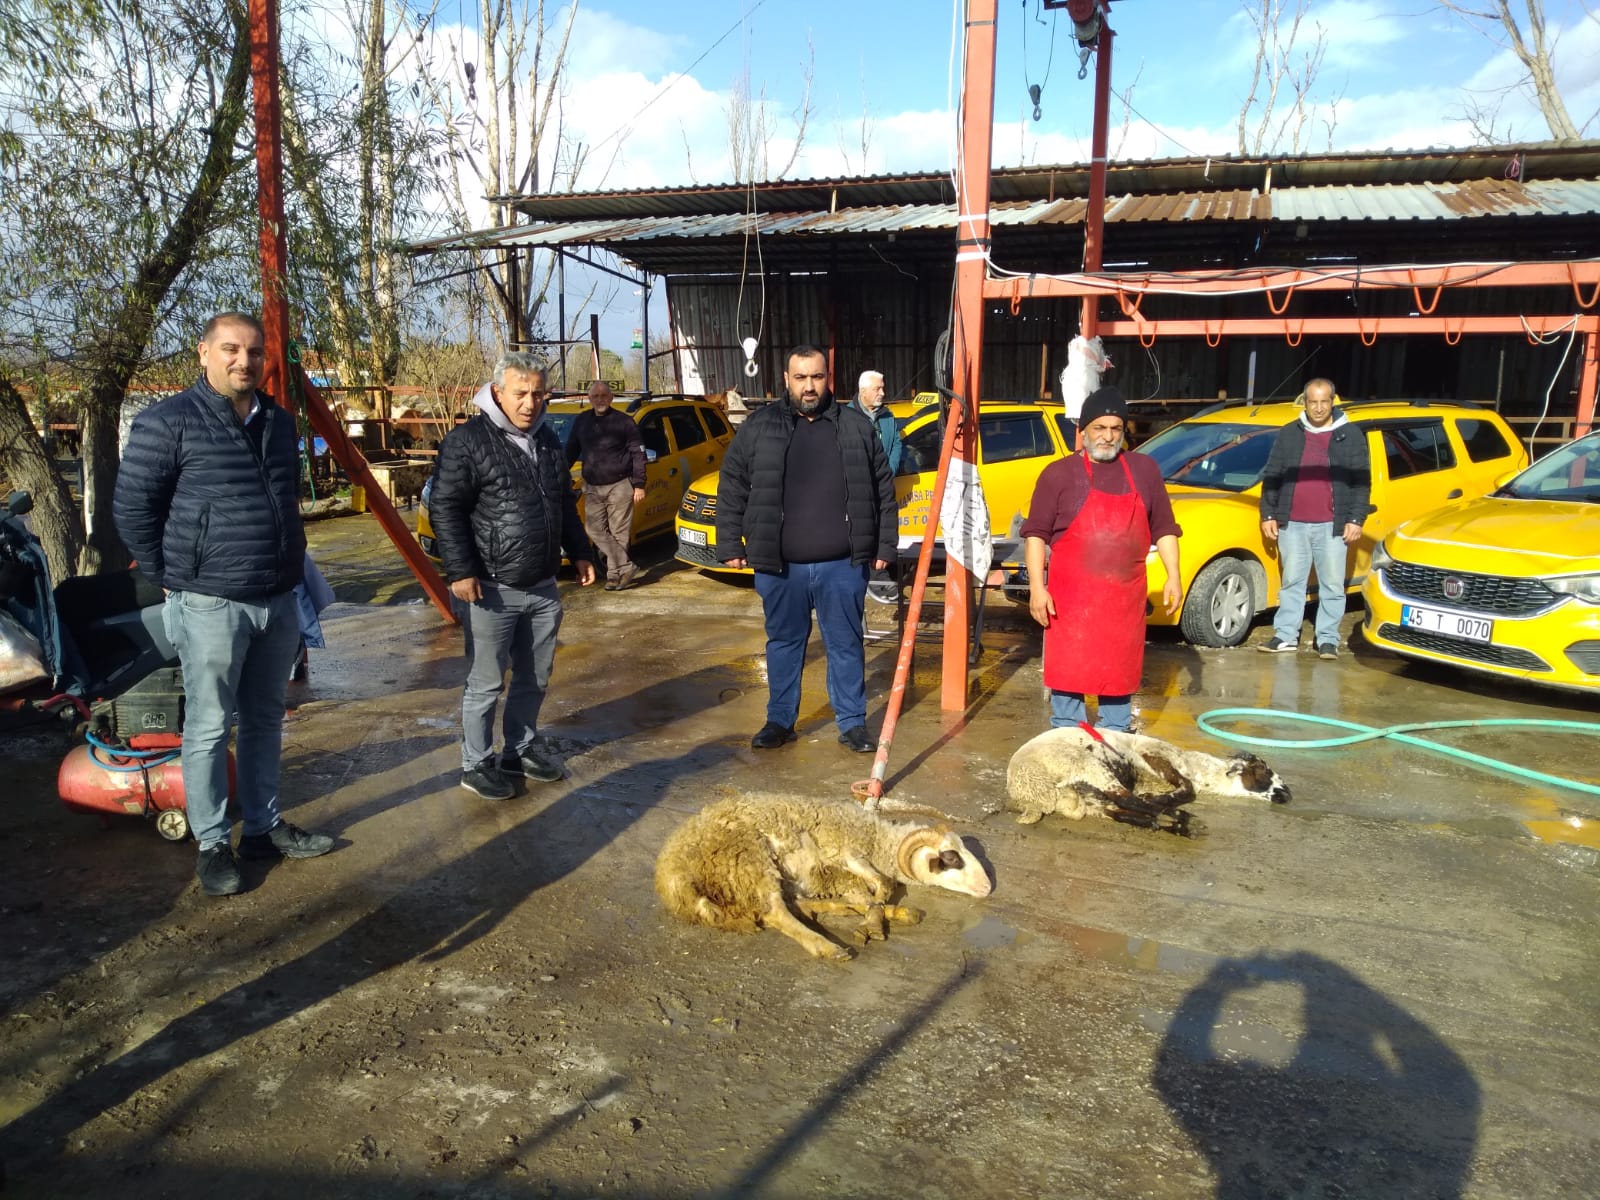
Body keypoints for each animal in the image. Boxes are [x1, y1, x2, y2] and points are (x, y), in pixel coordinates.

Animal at [652, 800, 985, 966]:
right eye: (952, 857)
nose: (986, 887)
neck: (877, 840)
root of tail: (674, 878)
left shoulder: (831, 875)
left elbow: (873, 895)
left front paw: (875, 917)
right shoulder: (848, 854)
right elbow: (882, 887)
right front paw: (872, 923)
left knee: (792, 906)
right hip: (750, 858)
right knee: (776, 912)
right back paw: (828, 948)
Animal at [1004, 723, 1292, 838]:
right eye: (1265, 770)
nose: (1287, 794)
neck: (1194, 764)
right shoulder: (1155, 757)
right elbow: (1186, 789)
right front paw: (1162, 798)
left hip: (1091, 799)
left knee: (1123, 810)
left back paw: (1172, 823)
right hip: (1088, 765)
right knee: (1129, 800)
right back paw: (1179, 819)